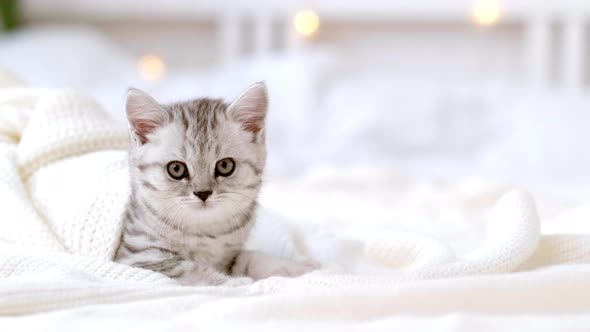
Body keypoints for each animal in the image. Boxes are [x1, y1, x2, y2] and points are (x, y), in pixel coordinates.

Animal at [116, 83, 320, 286]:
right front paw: (237, 283)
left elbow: (252, 259)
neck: (207, 232)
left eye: (225, 165)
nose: (203, 193)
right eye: (176, 168)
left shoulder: (230, 256)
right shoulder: (138, 256)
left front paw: (300, 268)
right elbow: (192, 270)